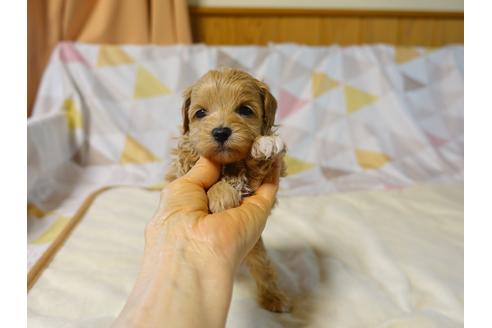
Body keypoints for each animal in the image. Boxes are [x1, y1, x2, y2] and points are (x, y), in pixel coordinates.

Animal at [167, 68, 290, 312]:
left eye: (245, 110)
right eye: (201, 113)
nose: (221, 132)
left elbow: (255, 166)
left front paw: (265, 143)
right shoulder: (182, 169)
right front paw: (220, 194)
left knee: (263, 268)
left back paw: (274, 299)